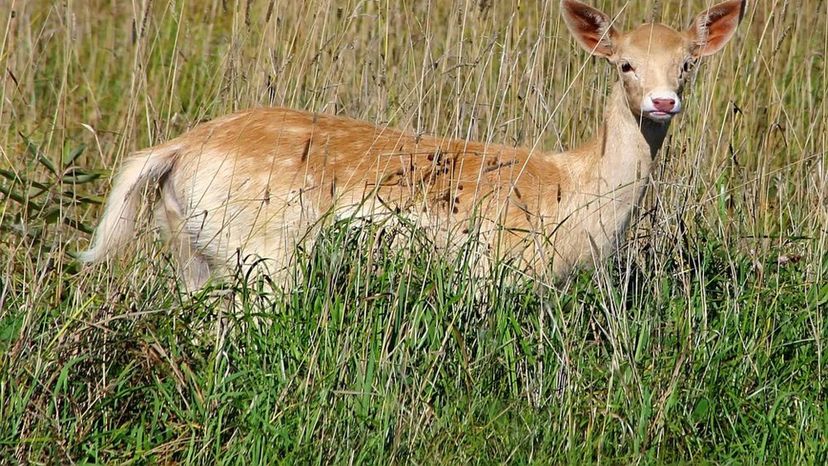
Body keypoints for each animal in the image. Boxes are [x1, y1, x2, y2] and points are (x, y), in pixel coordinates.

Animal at [79, 0, 752, 292]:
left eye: (688, 63)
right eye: (624, 64)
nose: (663, 102)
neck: (575, 195)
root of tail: (175, 150)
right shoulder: (498, 271)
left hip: (193, 249)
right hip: (262, 251)